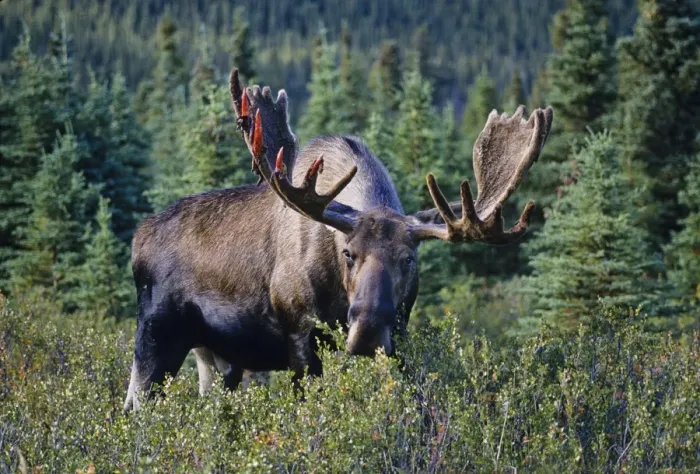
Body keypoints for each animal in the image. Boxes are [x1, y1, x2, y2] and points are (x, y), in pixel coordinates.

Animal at [123, 68, 553, 411]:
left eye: (409, 259)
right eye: (348, 253)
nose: (366, 332)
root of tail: (138, 238)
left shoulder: (400, 336)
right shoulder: (300, 337)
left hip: (214, 356)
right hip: (156, 336)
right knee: (134, 407)